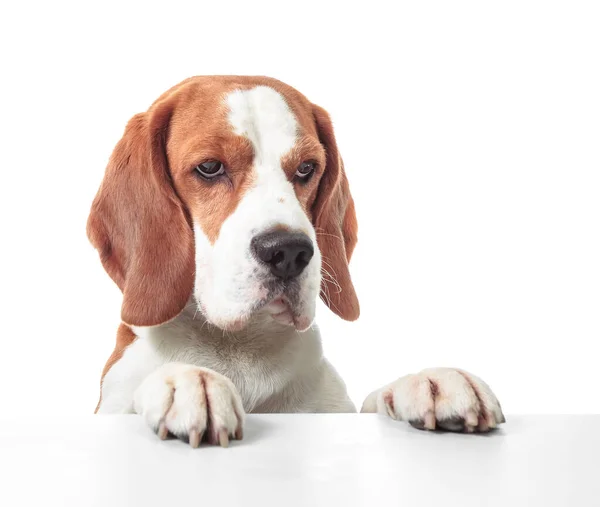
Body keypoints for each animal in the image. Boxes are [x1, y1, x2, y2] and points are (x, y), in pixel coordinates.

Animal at [86, 76, 504, 448]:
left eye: (306, 168)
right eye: (209, 167)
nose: (288, 252)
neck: (240, 350)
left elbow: (374, 401)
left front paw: (429, 381)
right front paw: (188, 381)